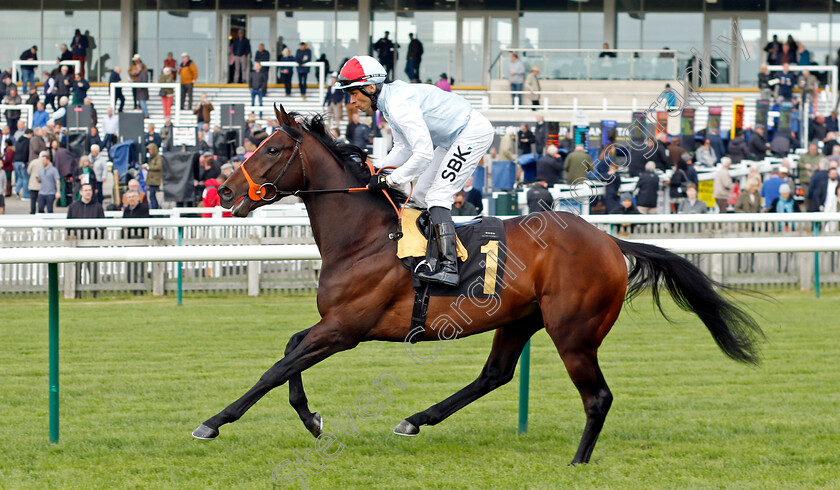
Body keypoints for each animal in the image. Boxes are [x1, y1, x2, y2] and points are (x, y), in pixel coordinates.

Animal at [194, 105, 764, 466]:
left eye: (271, 148)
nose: (225, 190)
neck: (364, 236)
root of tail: (608, 240)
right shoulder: (331, 324)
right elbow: (289, 352)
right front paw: (311, 418)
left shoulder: (345, 328)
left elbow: (276, 367)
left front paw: (214, 421)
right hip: (519, 319)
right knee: (495, 374)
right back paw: (416, 419)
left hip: (573, 332)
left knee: (597, 397)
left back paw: (578, 462)